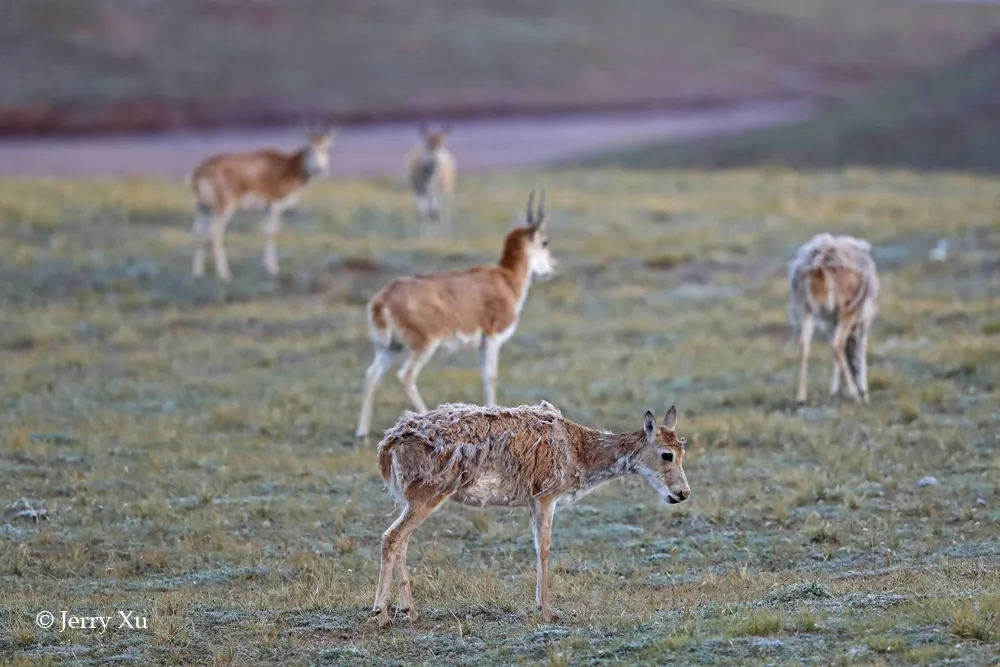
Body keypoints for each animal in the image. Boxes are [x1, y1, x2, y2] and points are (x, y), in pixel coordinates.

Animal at [189, 126, 338, 280]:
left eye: (327, 149)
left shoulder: (266, 209)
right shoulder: (275, 206)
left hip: (203, 207)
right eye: (308, 149)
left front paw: (266, 266)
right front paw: (273, 269)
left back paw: (197, 273)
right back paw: (224, 274)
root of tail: (200, 171)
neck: (286, 166)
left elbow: (265, 231)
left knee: (198, 232)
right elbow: (273, 232)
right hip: (224, 207)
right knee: (215, 232)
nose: (319, 169)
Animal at [354, 190, 560, 440]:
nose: (550, 270)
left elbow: (485, 376)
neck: (505, 280)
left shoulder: (482, 344)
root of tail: (383, 298)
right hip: (424, 346)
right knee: (406, 376)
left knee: (372, 374)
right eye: (545, 242)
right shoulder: (492, 338)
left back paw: (362, 432)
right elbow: (491, 377)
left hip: (390, 347)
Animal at [372, 402, 692, 628]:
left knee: (402, 542)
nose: (683, 493)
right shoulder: (545, 497)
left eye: (683, 450)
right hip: (427, 496)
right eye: (667, 454)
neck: (578, 449)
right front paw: (548, 611)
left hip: (414, 500)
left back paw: (411, 612)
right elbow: (544, 548)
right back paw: (381, 614)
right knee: (391, 537)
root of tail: (388, 445)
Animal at [788, 232, 884, 404]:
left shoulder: (831, 322)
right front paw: (864, 392)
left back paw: (801, 397)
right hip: (847, 313)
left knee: (804, 345)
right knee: (837, 345)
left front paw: (833, 390)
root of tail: (820, 262)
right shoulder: (862, 324)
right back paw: (855, 395)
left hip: (808, 312)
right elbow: (861, 352)